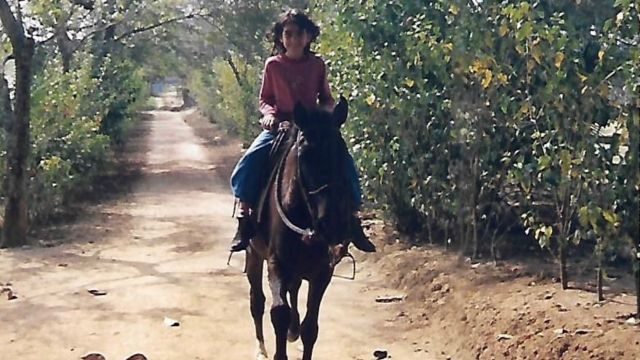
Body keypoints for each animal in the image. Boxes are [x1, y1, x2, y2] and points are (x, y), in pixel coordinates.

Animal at [246, 96, 356, 360]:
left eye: (342, 151)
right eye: (304, 153)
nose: (332, 222)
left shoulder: (323, 271)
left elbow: (310, 328)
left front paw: (298, 330)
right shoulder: (276, 263)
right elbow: (279, 313)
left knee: (293, 291)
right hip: (253, 253)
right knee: (257, 301)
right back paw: (261, 348)